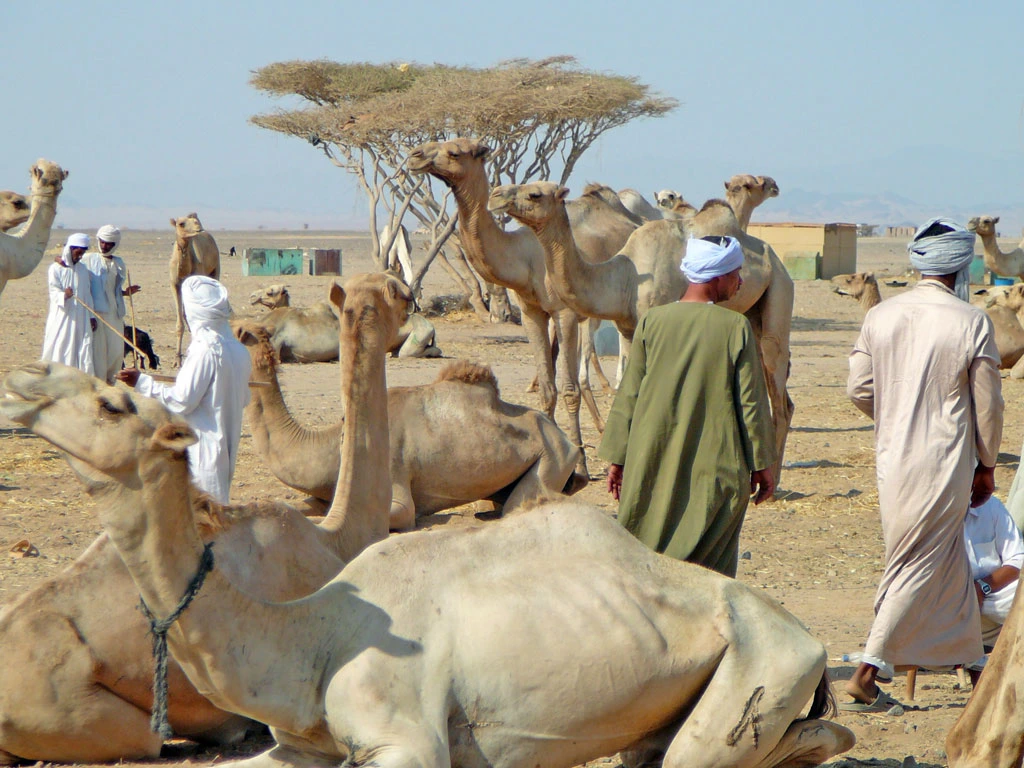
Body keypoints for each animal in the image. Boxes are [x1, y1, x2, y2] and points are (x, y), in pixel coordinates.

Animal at [0, 367, 856, 768]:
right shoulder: (298, 744)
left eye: (112, 402)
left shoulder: (407, 740)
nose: (24, 384)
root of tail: (812, 640)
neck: (308, 636)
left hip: (761, 664)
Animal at [170, 213, 221, 365]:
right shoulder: (175, 284)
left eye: (195, 220)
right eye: (181, 223)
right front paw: (177, 360)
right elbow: (181, 321)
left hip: (215, 270)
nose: (199, 228)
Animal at [237, 322, 586, 527]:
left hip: (553, 458)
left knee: (521, 503)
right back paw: (484, 512)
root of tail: (567, 442)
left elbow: (399, 512)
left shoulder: (394, 482)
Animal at [407, 139, 638, 471]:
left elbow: (568, 389)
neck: (524, 255)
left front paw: (580, 465)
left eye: (454, 152)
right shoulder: (532, 312)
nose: (414, 156)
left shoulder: (565, 313)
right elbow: (547, 388)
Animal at [490, 185, 795, 483]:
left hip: (779, 293)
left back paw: (774, 482)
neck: (626, 277)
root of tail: (778, 263)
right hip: (751, 314)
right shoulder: (629, 330)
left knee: (778, 390)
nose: (497, 194)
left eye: (535, 194)